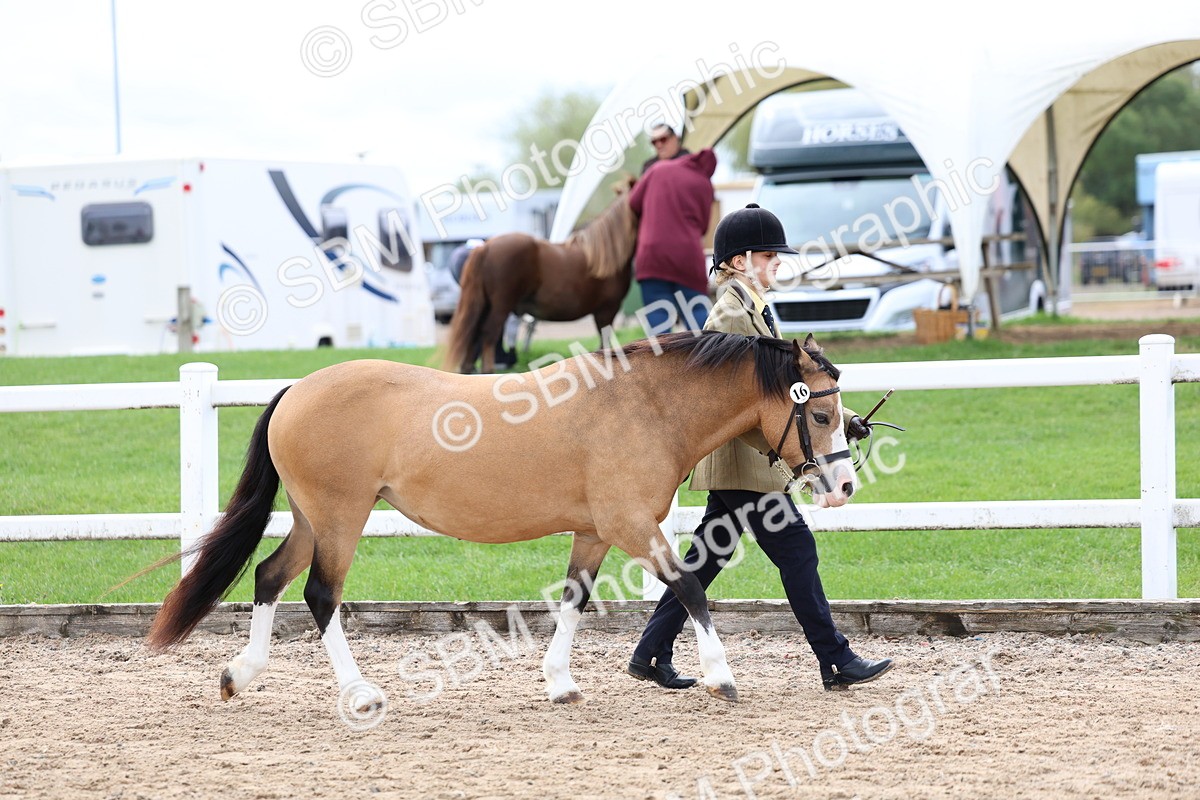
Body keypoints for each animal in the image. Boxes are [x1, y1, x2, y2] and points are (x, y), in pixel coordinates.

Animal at [146, 332, 857, 708]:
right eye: (820, 413)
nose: (845, 484)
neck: (642, 405)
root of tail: (297, 389)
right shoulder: (629, 525)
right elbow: (687, 587)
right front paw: (720, 676)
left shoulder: (594, 532)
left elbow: (574, 598)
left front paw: (561, 683)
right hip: (341, 517)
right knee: (321, 594)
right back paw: (361, 693)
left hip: (310, 518)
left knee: (269, 576)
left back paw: (240, 674)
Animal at [444, 178, 637, 374]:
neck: (605, 254)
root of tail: (485, 246)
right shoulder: (607, 309)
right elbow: (604, 341)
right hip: (500, 305)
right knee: (489, 333)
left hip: (484, 305)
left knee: (474, 334)